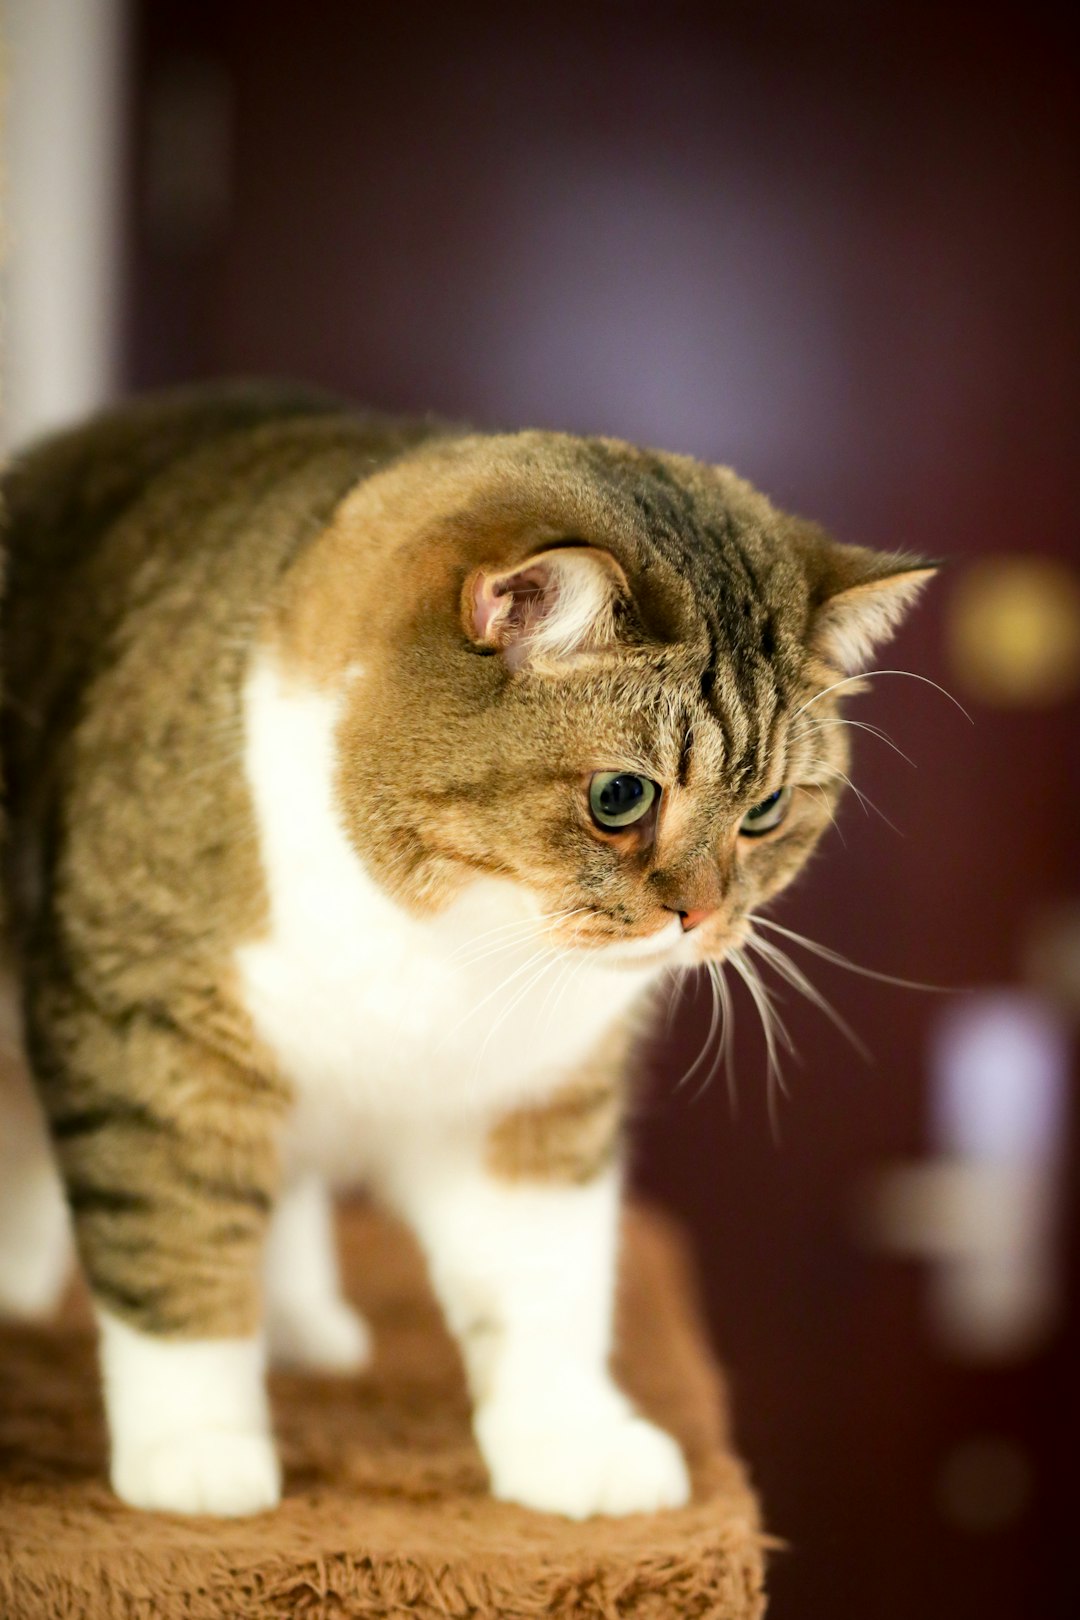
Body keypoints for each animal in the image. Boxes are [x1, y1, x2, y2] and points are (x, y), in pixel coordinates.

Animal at [0, 382, 932, 1516]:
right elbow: (174, 1238)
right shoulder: (152, 1034)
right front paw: (198, 1451)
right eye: (619, 798)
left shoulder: (537, 1096)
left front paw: (571, 1444)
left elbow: (546, 1280)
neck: (448, 941)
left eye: (765, 812)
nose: (705, 917)